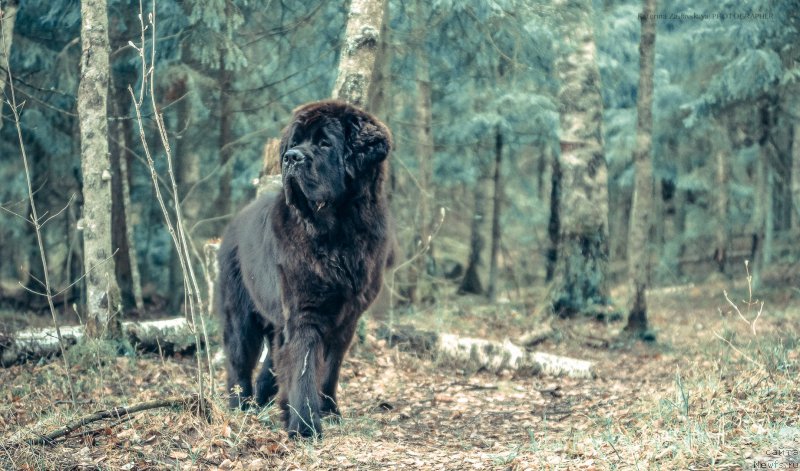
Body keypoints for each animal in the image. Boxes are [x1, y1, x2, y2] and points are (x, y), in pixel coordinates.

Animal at [217, 99, 392, 438]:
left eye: (325, 143)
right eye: (295, 142)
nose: (291, 157)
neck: (338, 234)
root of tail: (233, 224)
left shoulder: (347, 318)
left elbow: (329, 368)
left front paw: (329, 412)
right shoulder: (304, 312)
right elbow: (304, 366)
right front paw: (305, 426)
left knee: (271, 361)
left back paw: (263, 402)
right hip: (241, 313)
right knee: (239, 361)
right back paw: (240, 406)